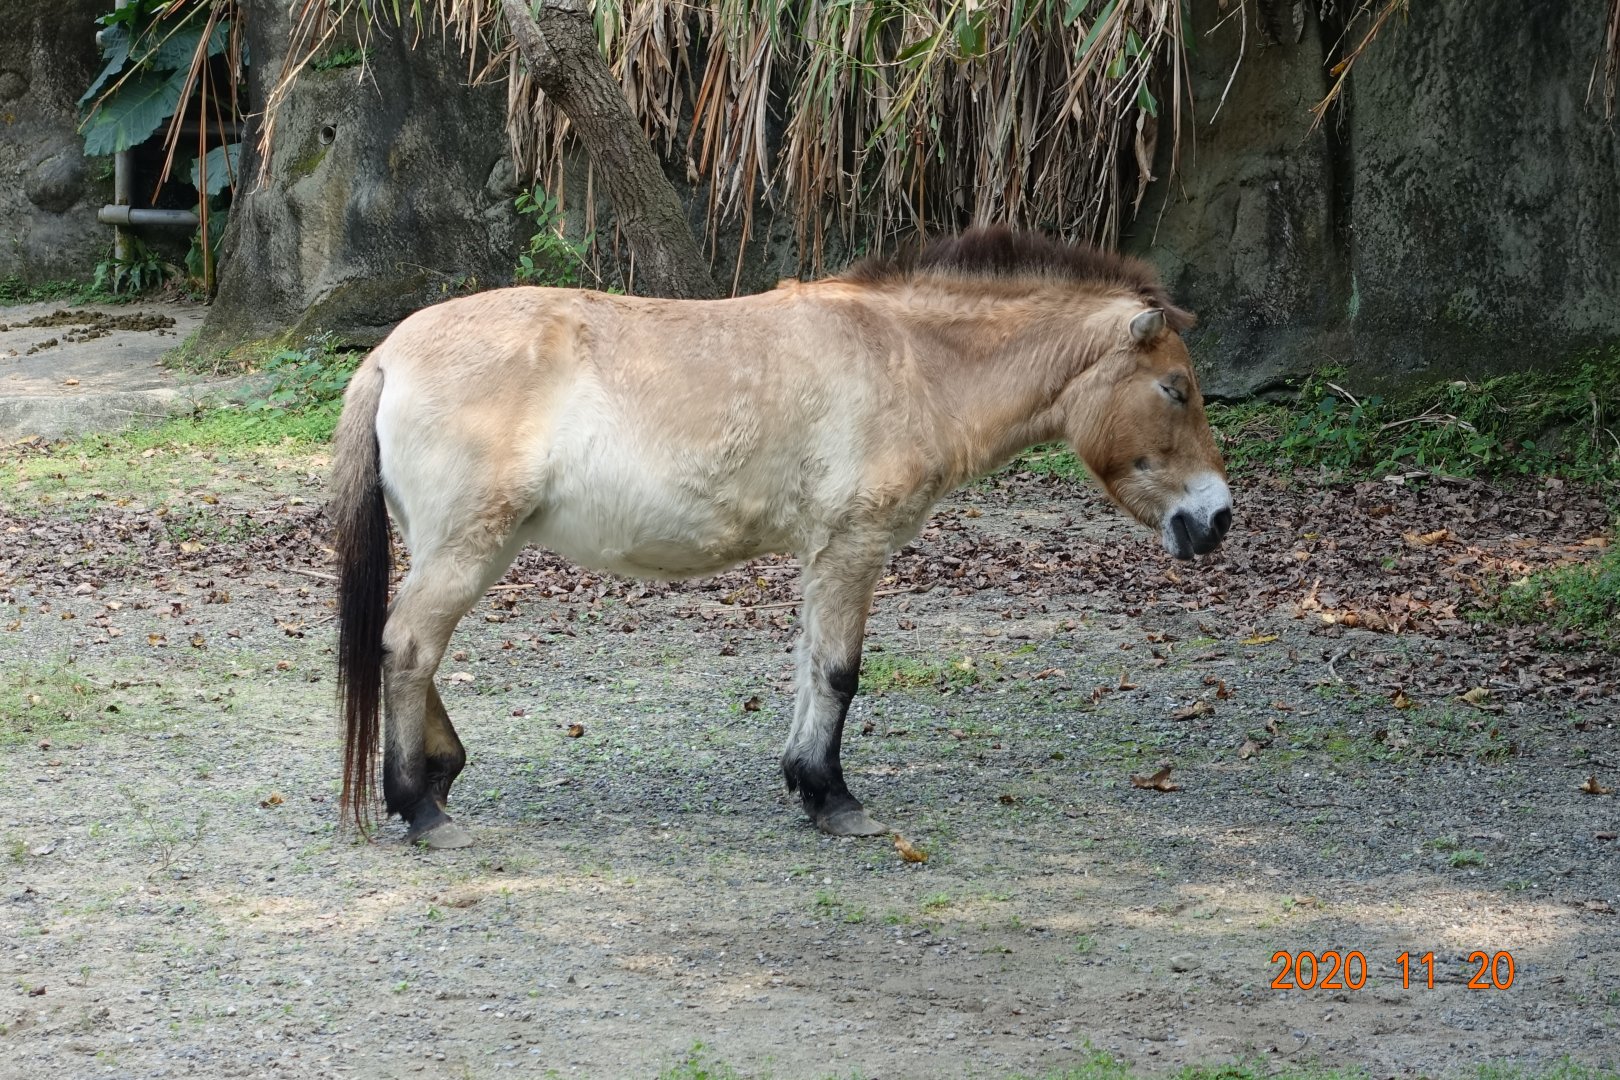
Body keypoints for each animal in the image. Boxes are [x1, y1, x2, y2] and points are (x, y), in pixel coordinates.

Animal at [329, 227, 1233, 849]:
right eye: (1175, 389)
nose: (1216, 518)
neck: (910, 360)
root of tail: (388, 354)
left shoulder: (823, 555)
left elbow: (808, 668)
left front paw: (806, 784)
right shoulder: (852, 548)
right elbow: (837, 673)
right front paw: (835, 799)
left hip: (459, 546)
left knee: (407, 647)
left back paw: (440, 778)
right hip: (468, 547)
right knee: (409, 645)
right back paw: (419, 807)